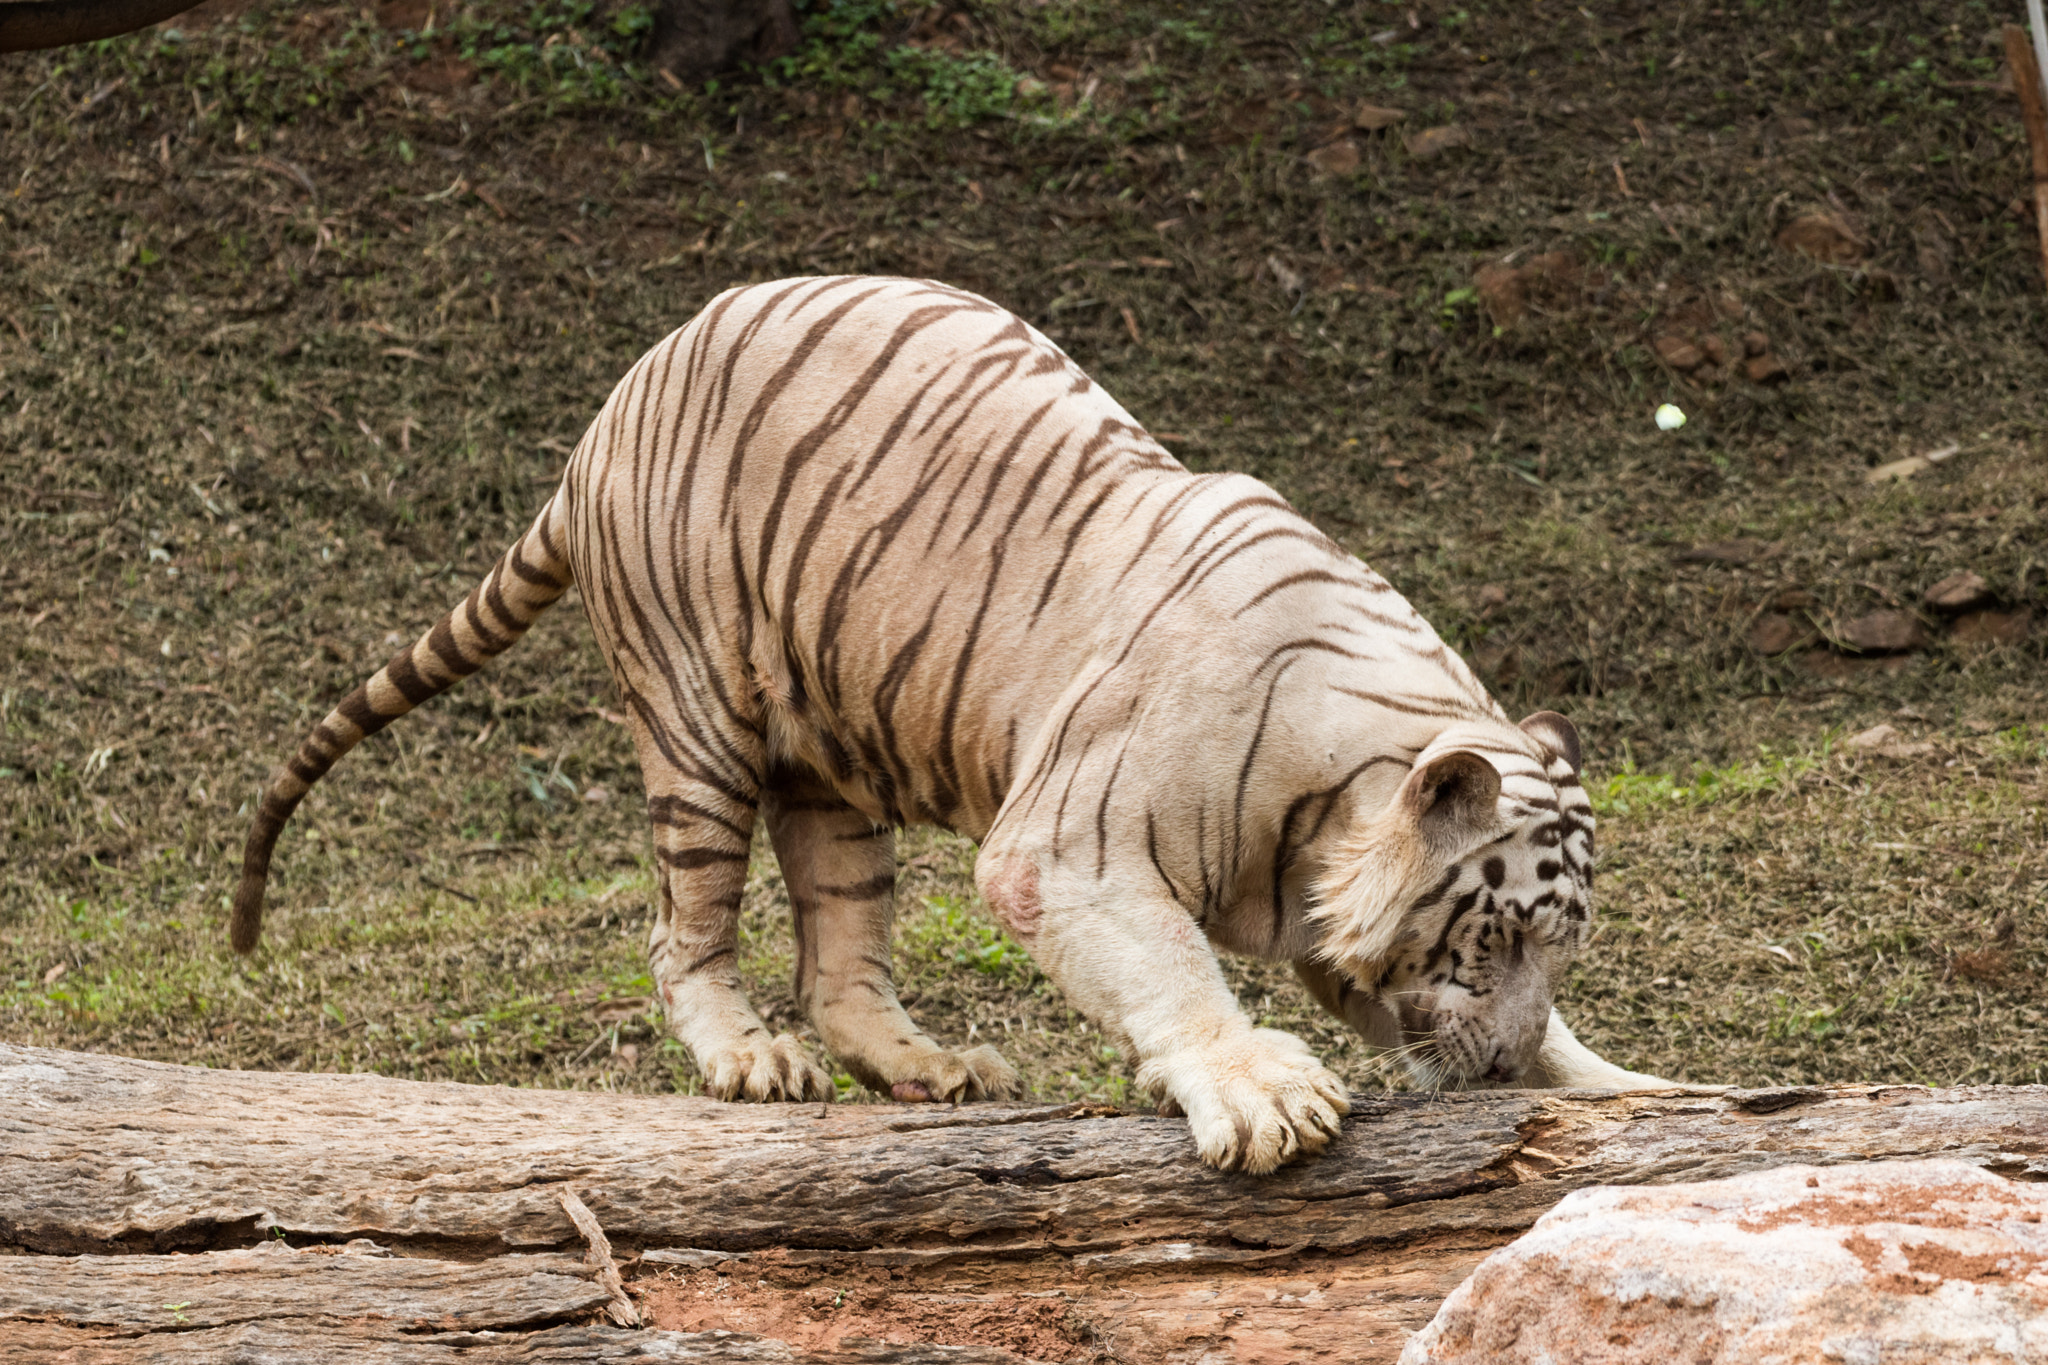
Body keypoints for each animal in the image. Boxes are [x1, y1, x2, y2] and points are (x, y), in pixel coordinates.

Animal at [231, 275, 1674, 1174]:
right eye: (1497, 936)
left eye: (1553, 952)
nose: (1503, 1067)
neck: (1330, 795)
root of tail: (604, 418)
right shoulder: (1068, 851)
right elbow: (1172, 970)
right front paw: (1258, 1092)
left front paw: (1624, 1089)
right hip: (697, 730)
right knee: (681, 928)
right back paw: (749, 1058)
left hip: (834, 769)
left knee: (839, 959)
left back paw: (931, 1070)